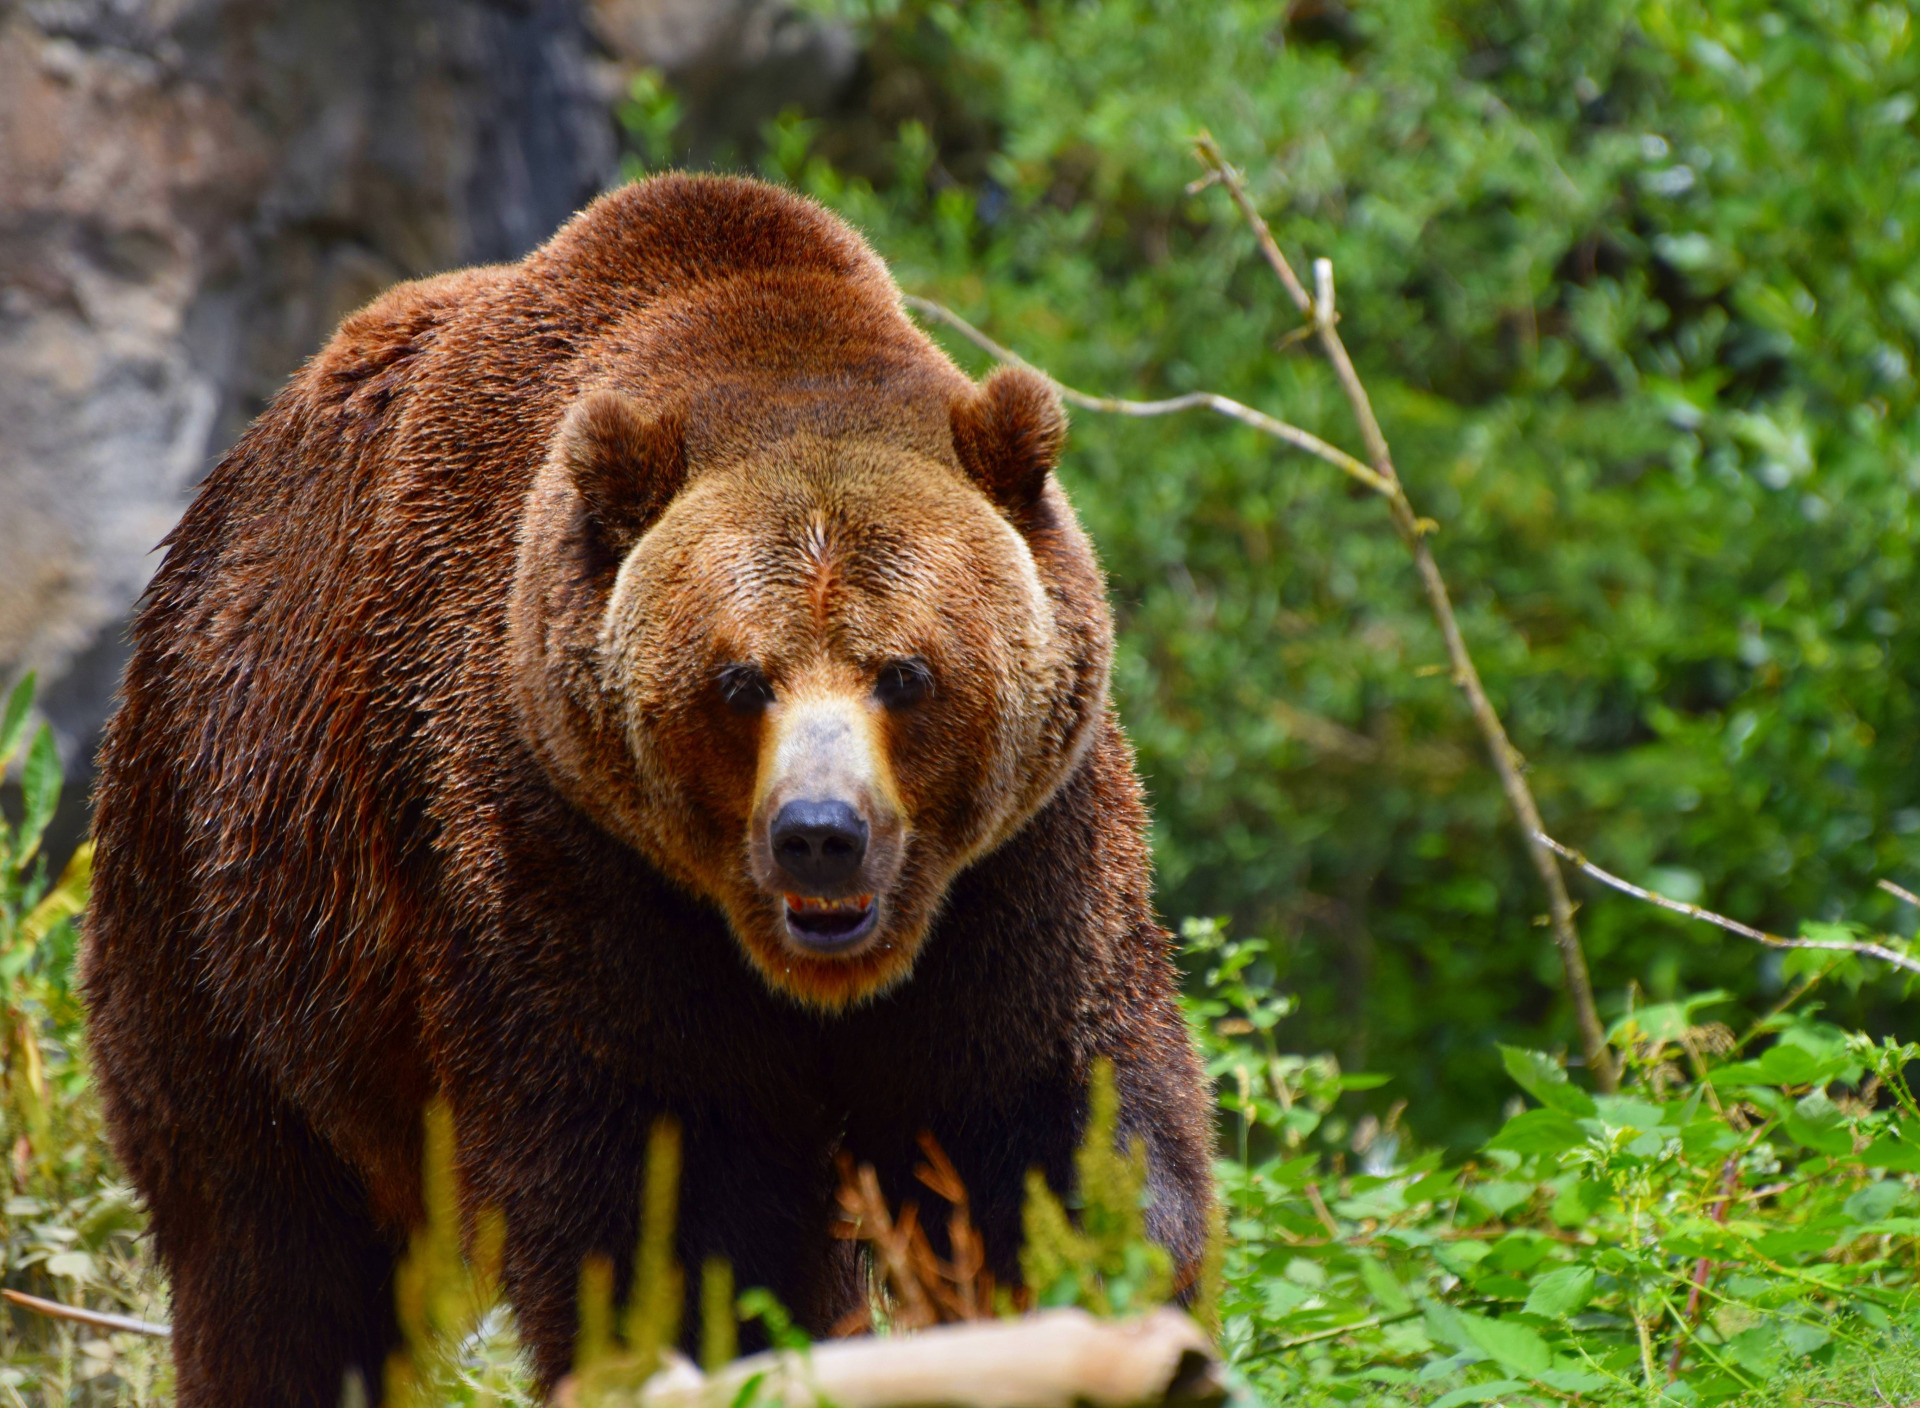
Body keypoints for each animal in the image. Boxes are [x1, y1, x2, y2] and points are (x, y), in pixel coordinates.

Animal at [82, 178, 1213, 1406]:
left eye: (905, 672)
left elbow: (1046, 1130)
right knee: (272, 1250)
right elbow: (664, 1193)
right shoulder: (563, 850)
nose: (822, 835)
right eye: (741, 679)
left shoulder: (1019, 869)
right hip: (235, 908)